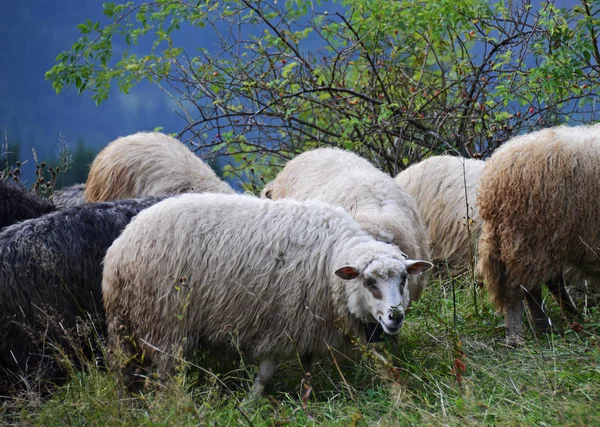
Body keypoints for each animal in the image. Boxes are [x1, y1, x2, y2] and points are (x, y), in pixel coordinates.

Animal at [103, 194, 432, 394]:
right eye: (369, 282)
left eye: (404, 278)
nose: (395, 317)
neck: (331, 260)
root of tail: (120, 246)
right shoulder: (278, 322)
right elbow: (266, 373)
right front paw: (252, 401)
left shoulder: (308, 326)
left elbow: (307, 368)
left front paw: (307, 399)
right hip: (163, 321)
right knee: (167, 373)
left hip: (124, 324)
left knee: (124, 372)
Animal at [478, 125, 600, 346]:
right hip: (529, 237)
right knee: (519, 289)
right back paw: (517, 337)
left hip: (545, 240)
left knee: (544, 284)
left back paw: (556, 323)